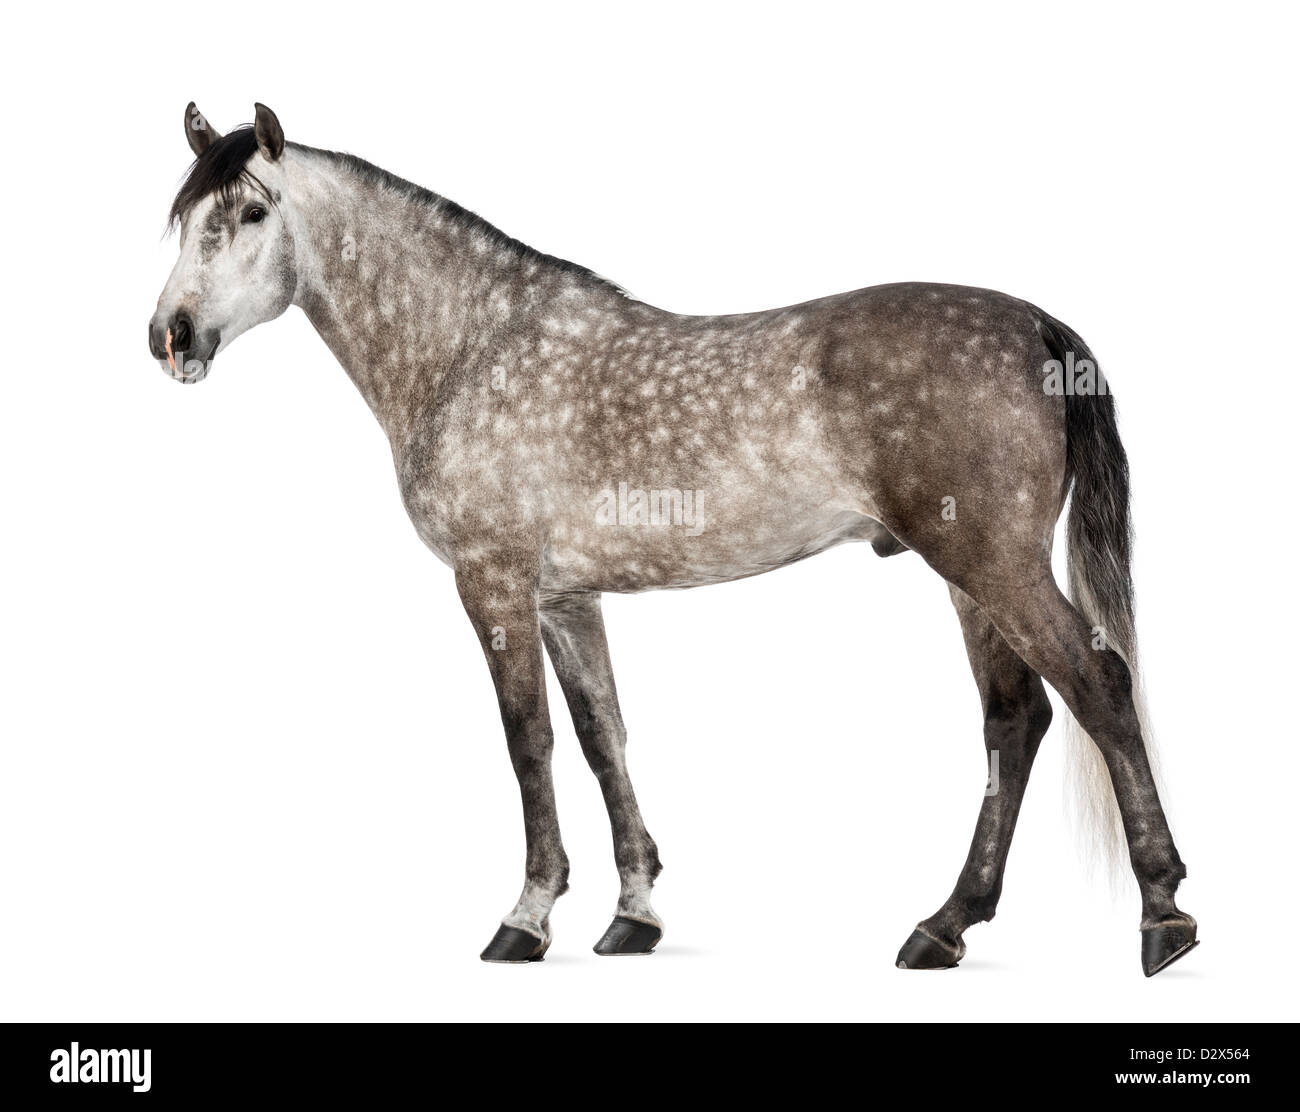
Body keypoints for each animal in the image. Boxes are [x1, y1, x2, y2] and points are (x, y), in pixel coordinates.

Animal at [149, 104, 1196, 972]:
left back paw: (1163, 916)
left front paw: (526, 919)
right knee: (1014, 720)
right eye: (184, 219)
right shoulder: (566, 597)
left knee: (1098, 687)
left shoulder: (493, 583)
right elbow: (603, 736)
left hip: (993, 564)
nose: (173, 335)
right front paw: (633, 915)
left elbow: (528, 741)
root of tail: (1037, 325)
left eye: (252, 213)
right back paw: (943, 927)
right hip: (969, 576)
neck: (475, 350)